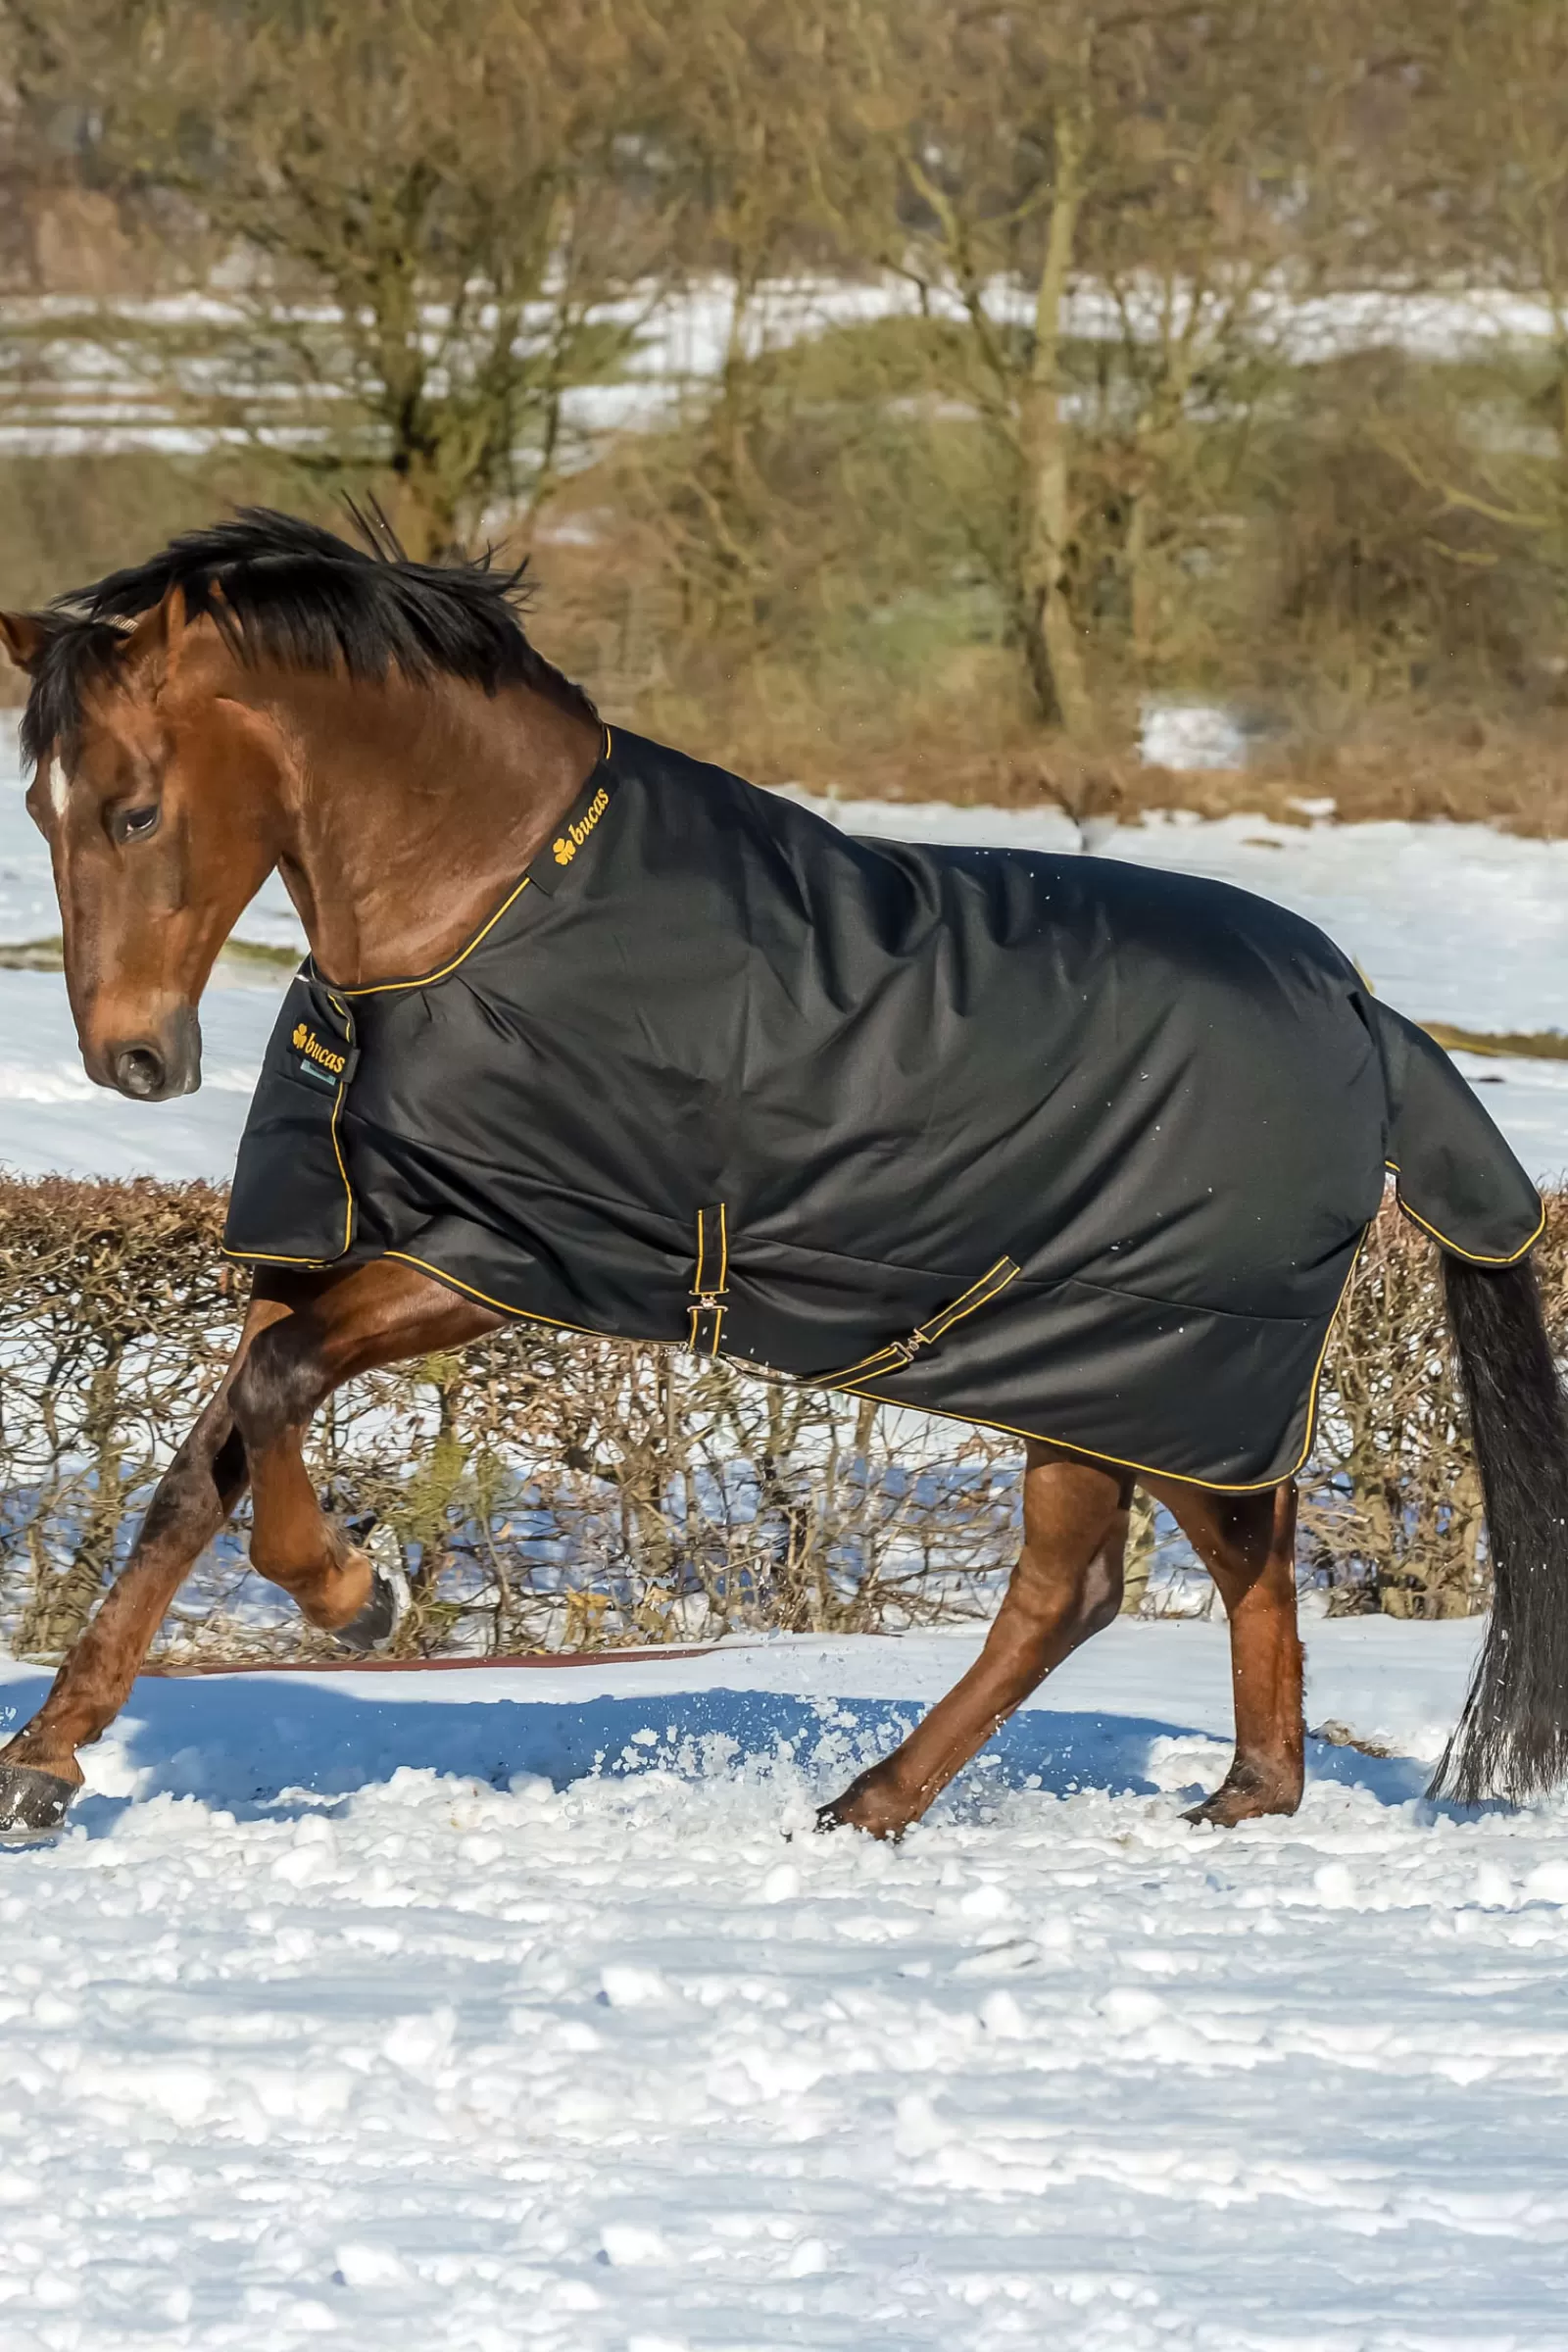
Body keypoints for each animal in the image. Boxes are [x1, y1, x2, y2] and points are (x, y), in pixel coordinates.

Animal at [0, 510, 1560, 1835]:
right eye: (40, 809)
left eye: (134, 811)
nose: (135, 1060)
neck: (485, 907)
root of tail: (1365, 1014)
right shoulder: (325, 1242)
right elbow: (206, 1462)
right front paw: (48, 1761)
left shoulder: (499, 1258)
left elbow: (268, 1398)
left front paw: (358, 1596)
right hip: (1087, 1376)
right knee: (1120, 1579)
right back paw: (1075, 1797)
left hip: (1163, 1371)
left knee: (1173, 1568)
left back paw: (1087, 1800)